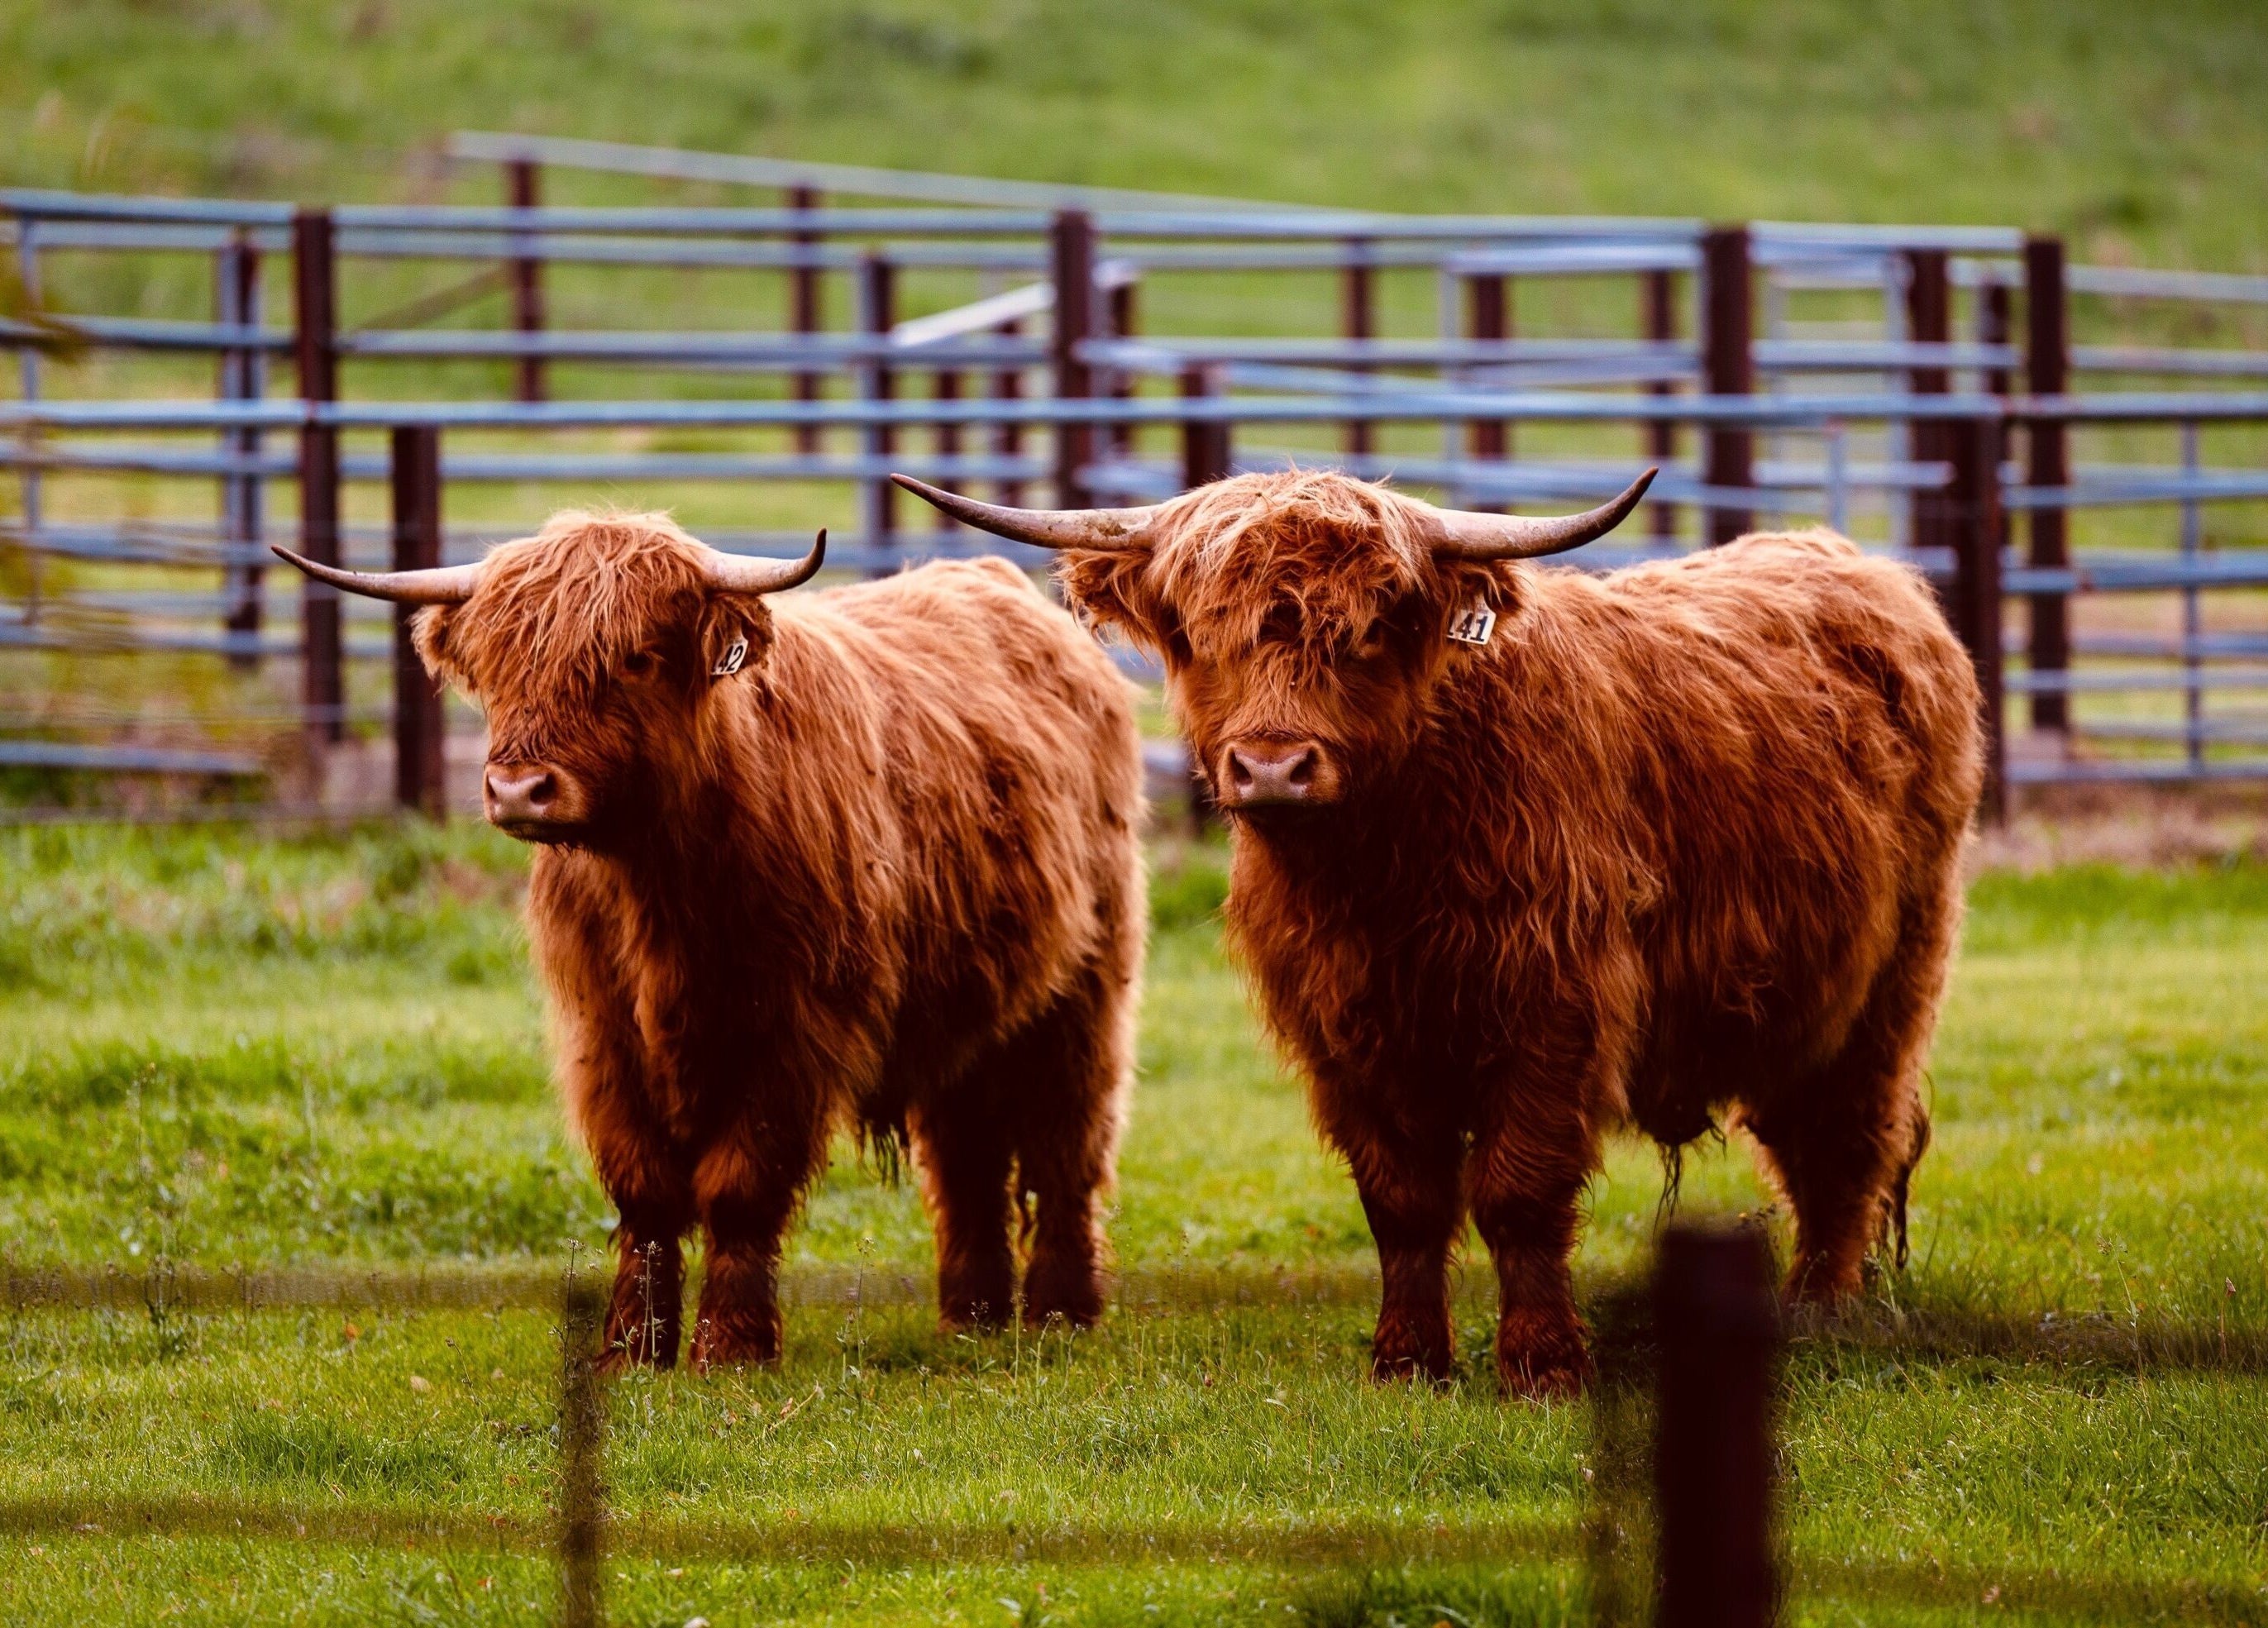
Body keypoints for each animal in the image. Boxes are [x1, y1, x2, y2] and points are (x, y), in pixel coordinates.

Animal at [274, 511, 1144, 1371]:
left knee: (1066, 1147)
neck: (659, 888)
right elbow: (644, 1188)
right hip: (968, 1006)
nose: (519, 789)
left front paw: (729, 1347)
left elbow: (739, 1184)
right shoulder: (600, 1030)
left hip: (1085, 987)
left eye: (635, 658)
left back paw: (1060, 1312)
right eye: (499, 661)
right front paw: (631, 1348)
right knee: (968, 1157)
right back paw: (972, 1316)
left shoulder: (794, 1030)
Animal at [894, 467, 1983, 1399]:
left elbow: (1517, 1193)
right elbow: (1402, 1201)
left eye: (1371, 629)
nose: (1272, 766)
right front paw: (1407, 1361)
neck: (1384, 876)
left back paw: (1819, 1313)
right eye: (1203, 632)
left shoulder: (1553, 1013)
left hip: (1892, 980)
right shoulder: (1344, 1035)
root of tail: (1856, 565)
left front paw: (1541, 1366)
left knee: (1848, 1143)